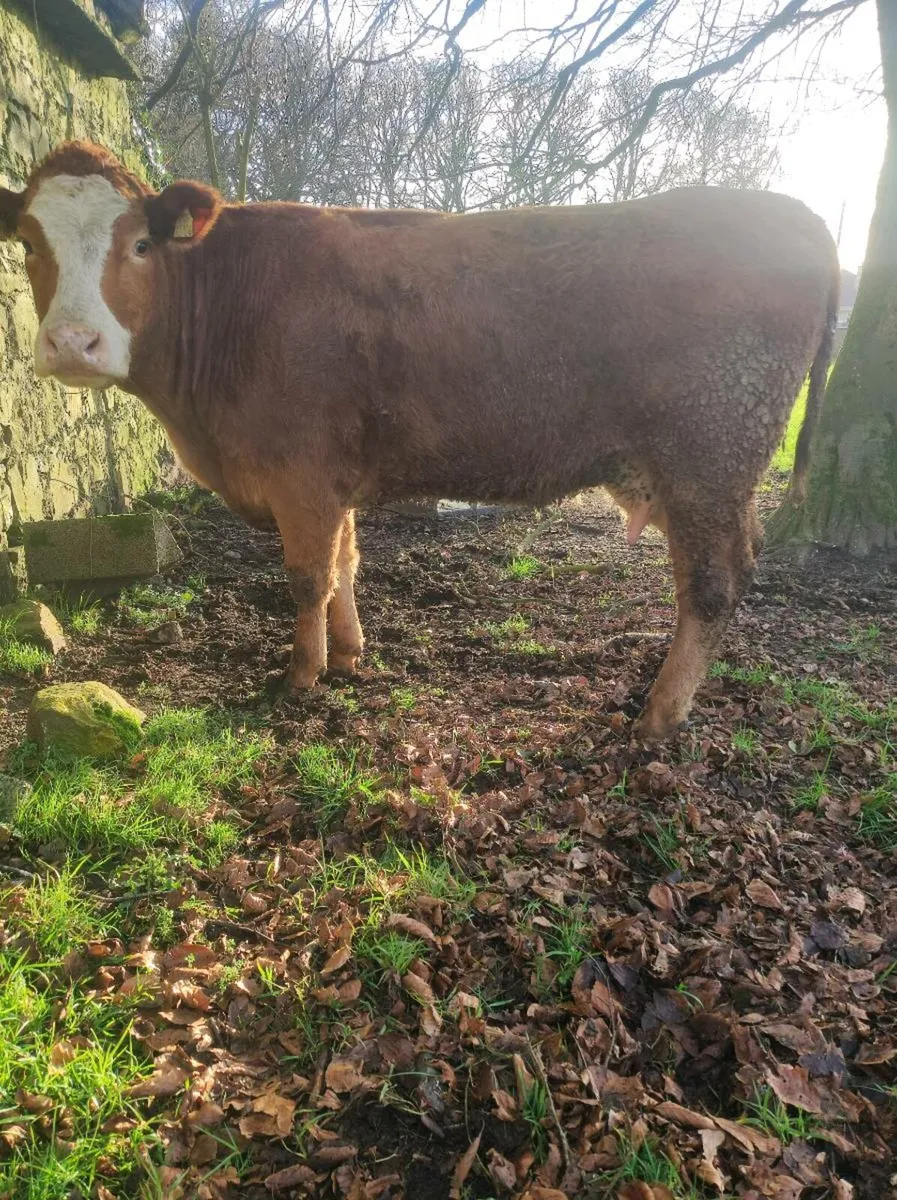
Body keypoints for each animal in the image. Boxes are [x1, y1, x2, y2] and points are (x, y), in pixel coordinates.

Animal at [0, 142, 839, 740]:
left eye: (139, 245)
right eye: (30, 245)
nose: (73, 343)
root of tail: (793, 214)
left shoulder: (299, 473)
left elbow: (307, 576)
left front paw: (300, 676)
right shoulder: (330, 477)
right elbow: (345, 565)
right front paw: (349, 655)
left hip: (709, 450)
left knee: (712, 582)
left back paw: (659, 715)